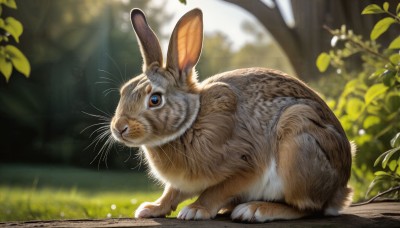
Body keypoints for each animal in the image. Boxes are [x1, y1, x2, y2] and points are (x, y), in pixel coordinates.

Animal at [110, 7, 354, 223]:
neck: (191, 122)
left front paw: (196, 210)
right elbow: (172, 193)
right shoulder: (181, 183)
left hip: (298, 139)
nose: (119, 128)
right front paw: (151, 209)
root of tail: (340, 190)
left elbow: (217, 190)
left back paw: (255, 210)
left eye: (155, 99)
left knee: (307, 208)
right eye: (124, 91)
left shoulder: (246, 164)